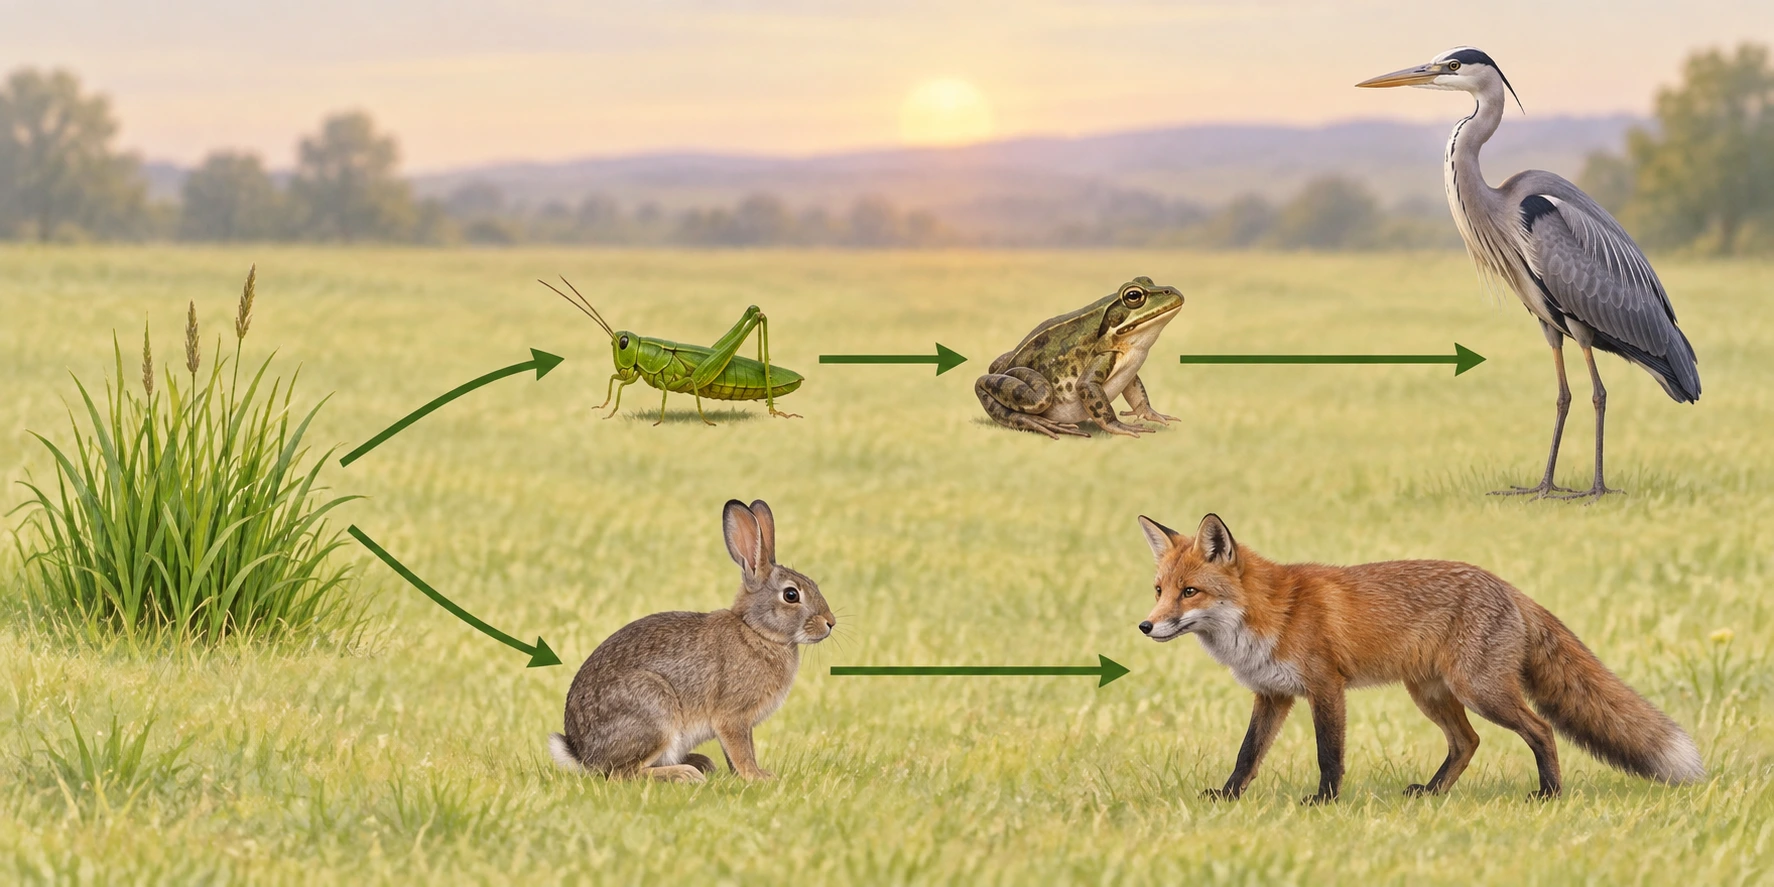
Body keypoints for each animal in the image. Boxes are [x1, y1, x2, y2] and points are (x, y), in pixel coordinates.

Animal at [548, 498, 834, 782]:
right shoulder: (732, 716)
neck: (755, 631)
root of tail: (582, 753)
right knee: (622, 773)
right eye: (791, 595)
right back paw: (684, 773)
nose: (830, 623)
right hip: (655, 710)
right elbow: (741, 750)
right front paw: (757, 777)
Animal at [1137, 512, 1704, 803]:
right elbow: (1247, 755)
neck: (1266, 613)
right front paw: (1227, 797)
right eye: (1160, 590)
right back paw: (1432, 793)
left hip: (1482, 692)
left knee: (1540, 729)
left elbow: (1328, 755)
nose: (1146, 626)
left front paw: (1324, 803)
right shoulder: (1272, 695)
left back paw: (1548, 793)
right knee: (1467, 742)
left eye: (1190, 592)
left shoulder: (1325, 687)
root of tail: (1511, 588)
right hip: (1431, 695)